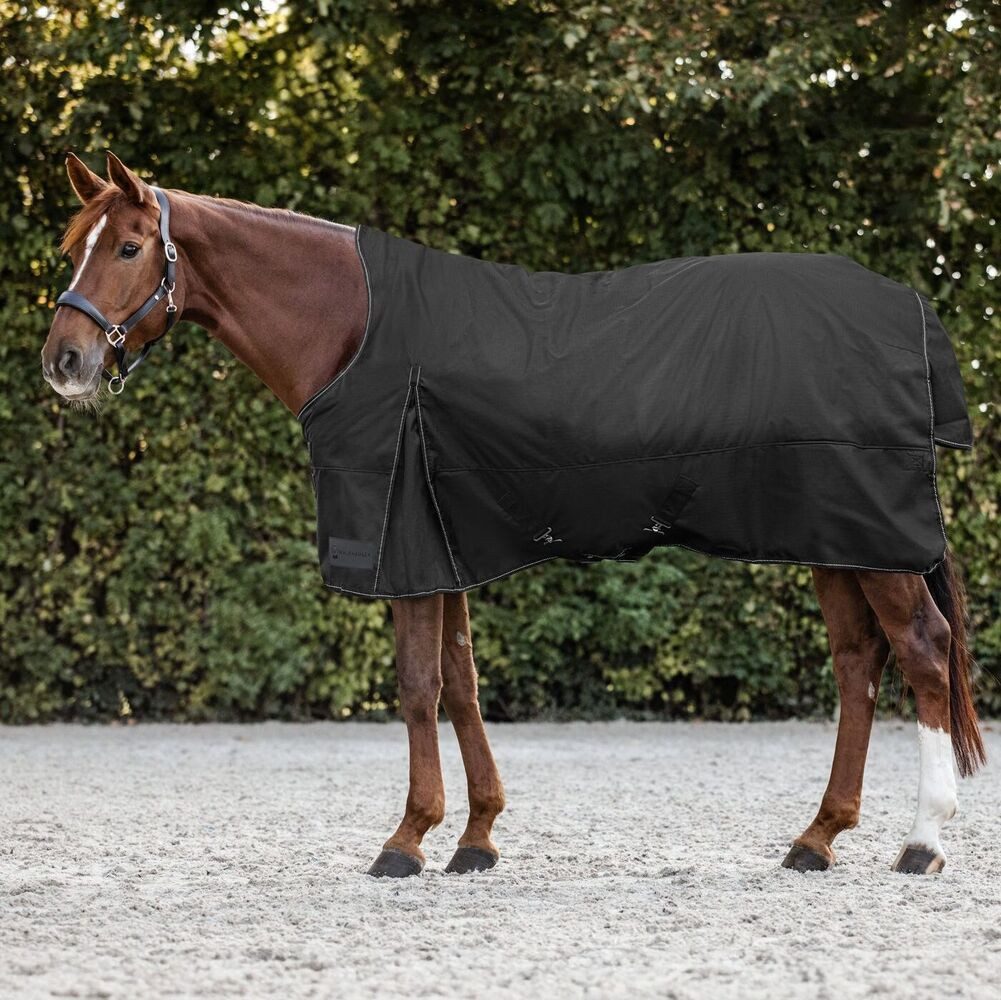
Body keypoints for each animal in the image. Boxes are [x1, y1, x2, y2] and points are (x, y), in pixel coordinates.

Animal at [41, 152, 985, 878]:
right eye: (69, 246)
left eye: (129, 246)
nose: (64, 361)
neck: (356, 329)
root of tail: (906, 306)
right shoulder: (440, 543)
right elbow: (460, 683)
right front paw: (477, 836)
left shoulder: (405, 547)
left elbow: (418, 686)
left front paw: (406, 840)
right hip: (838, 539)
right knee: (858, 663)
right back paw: (817, 838)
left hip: (873, 541)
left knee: (921, 651)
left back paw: (920, 842)